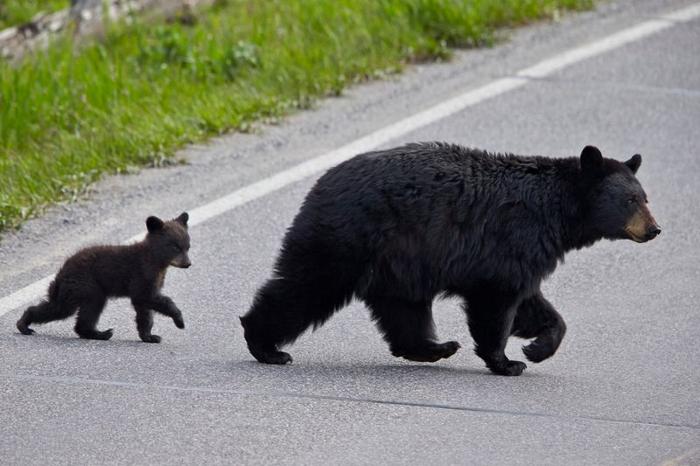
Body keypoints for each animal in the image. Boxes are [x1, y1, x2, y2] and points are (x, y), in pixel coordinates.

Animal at [242, 145, 660, 374]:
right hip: (348, 238)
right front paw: (507, 362)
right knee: (306, 287)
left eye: (645, 197)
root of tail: (320, 183)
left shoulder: (526, 252)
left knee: (403, 310)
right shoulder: (511, 240)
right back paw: (266, 345)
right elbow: (498, 302)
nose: (655, 229)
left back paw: (436, 347)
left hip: (398, 263)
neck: (556, 211)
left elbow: (533, 303)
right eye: (630, 200)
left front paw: (538, 347)